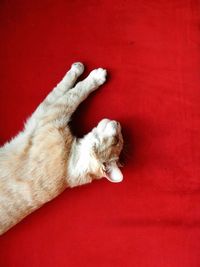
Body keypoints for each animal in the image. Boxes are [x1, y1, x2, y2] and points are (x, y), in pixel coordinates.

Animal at [0, 62, 123, 234]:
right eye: (118, 139)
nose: (118, 123)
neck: (71, 164)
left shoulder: (51, 115)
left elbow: (74, 93)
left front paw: (95, 76)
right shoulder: (43, 115)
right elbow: (61, 89)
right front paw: (78, 69)